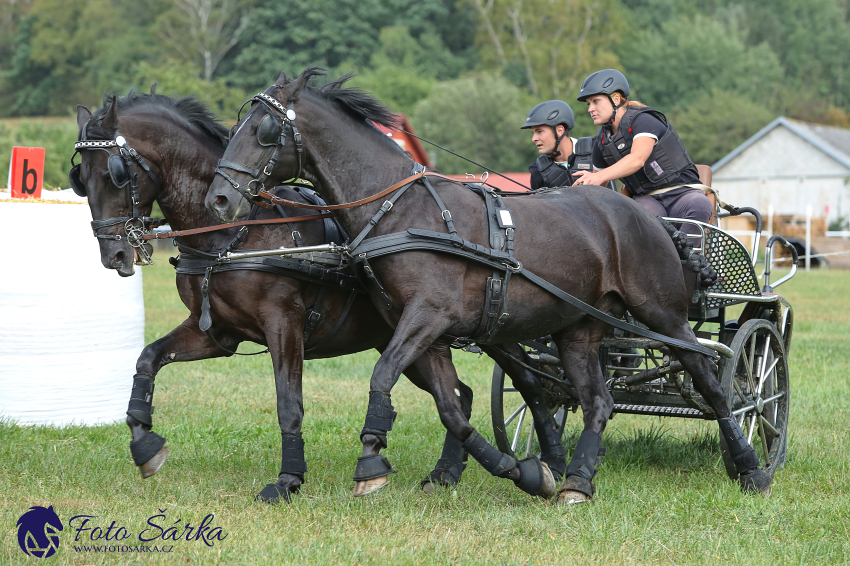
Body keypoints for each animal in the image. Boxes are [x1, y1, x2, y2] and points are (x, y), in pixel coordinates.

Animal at [73, 91, 532, 504]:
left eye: (115, 173)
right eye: (81, 180)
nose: (114, 255)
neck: (235, 234)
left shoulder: (283, 324)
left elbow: (288, 402)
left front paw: (288, 479)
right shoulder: (217, 332)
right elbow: (147, 358)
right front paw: (144, 444)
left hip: (486, 328)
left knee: (525, 382)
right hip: (406, 338)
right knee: (460, 394)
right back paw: (446, 473)